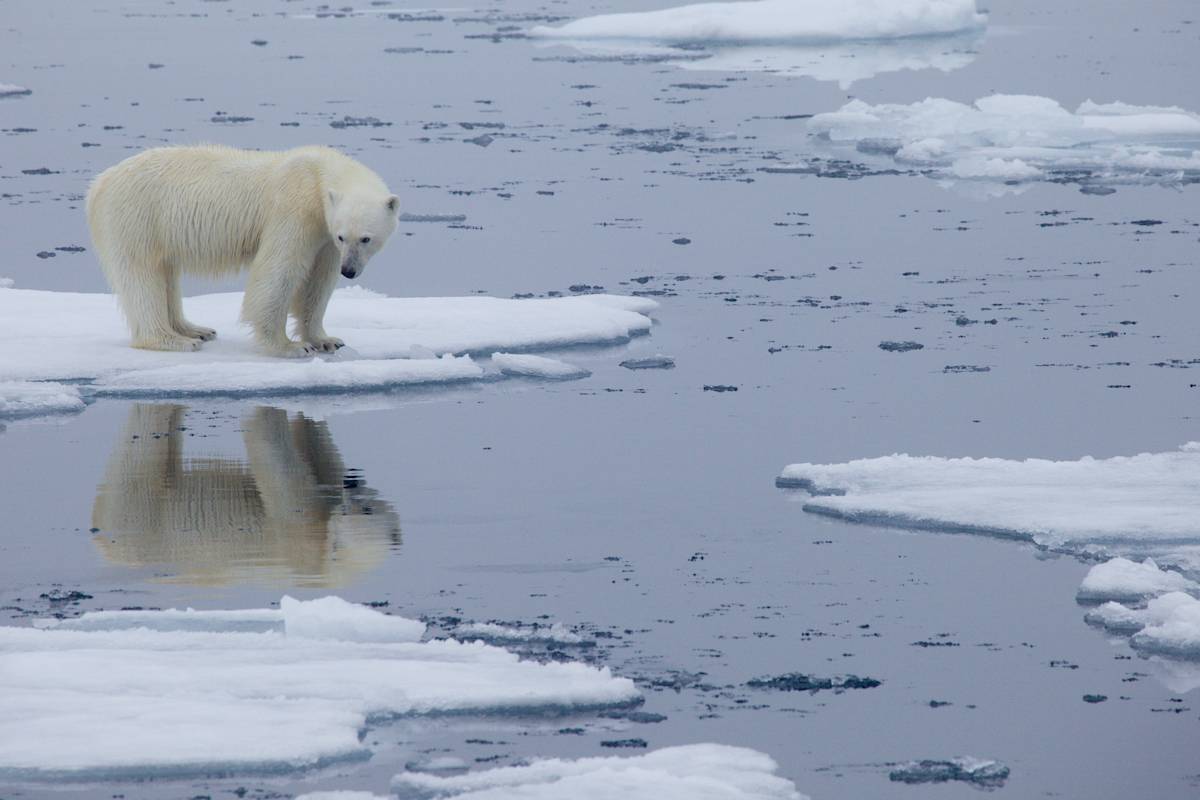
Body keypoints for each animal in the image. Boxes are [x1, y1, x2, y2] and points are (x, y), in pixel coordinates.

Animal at [86, 145, 399, 357]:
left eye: (365, 239)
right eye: (344, 236)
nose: (349, 271)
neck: (316, 175)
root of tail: (100, 183)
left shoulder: (323, 235)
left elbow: (319, 282)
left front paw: (326, 339)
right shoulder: (295, 211)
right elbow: (278, 270)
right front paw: (290, 346)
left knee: (166, 274)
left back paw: (195, 329)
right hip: (138, 217)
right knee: (141, 276)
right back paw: (173, 340)